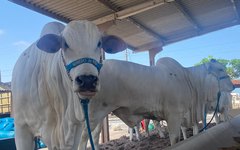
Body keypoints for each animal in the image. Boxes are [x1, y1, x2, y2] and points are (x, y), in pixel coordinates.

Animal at [79, 56, 234, 148]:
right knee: (83, 138)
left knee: (94, 137)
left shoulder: (189, 116)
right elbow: (175, 138)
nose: (233, 86)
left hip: (99, 116)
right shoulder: (174, 115)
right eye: (220, 69)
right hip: (92, 114)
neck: (190, 81)